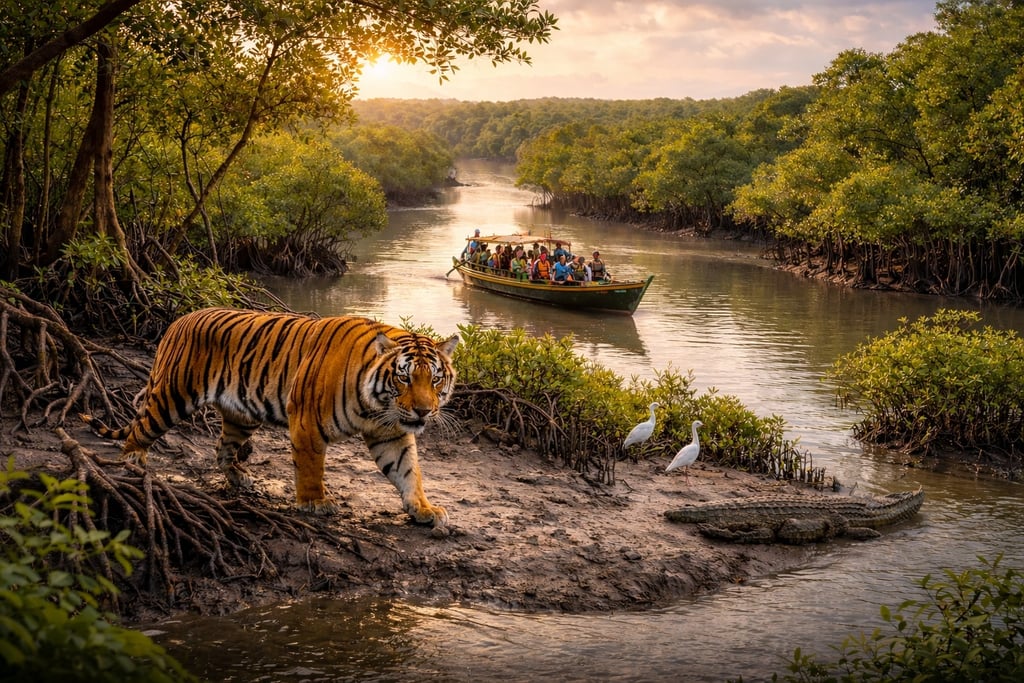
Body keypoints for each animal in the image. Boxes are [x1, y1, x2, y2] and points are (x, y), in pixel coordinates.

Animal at [81, 307, 459, 527]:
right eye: (404, 378)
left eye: (435, 379)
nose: (424, 410)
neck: (377, 405)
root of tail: (179, 320)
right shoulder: (307, 421)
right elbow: (310, 467)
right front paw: (315, 502)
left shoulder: (390, 433)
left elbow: (408, 472)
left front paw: (424, 509)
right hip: (172, 396)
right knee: (140, 428)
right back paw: (133, 459)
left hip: (242, 415)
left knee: (221, 449)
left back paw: (238, 477)